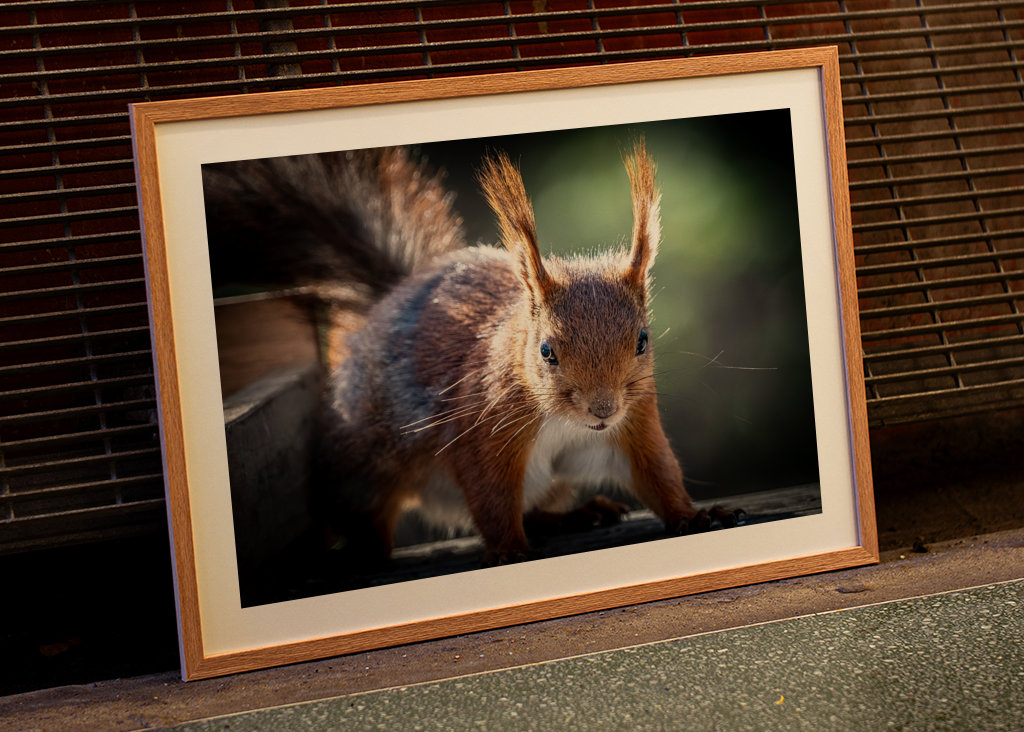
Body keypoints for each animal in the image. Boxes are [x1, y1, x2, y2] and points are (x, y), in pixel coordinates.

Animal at [202, 141, 740, 567]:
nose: (602, 409)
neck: (566, 421)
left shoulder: (636, 423)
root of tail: (386, 303)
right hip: (367, 461)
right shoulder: (483, 429)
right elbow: (490, 495)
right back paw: (366, 552)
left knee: (542, 504)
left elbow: (657, 475)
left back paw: (578, 513)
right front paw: (509, 550)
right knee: (365, 512)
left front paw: (695, 515)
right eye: (546, 350)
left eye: (642, 341)